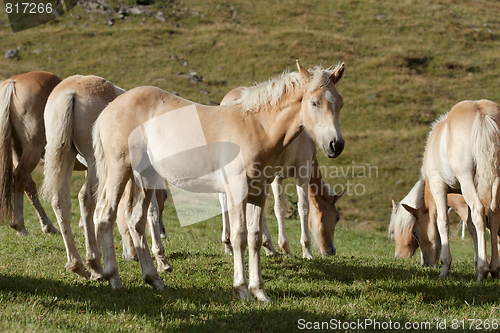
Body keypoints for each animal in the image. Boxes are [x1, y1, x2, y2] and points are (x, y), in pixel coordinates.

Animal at [0, 71, 61, 235]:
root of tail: (13, 82)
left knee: (27, 183)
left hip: (17, 148)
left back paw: (47, 225)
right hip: (33, 148)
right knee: (21, 176)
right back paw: (19, 224)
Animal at [40, 74, 172, 278]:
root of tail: (70, 92)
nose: (131, 256)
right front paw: (161, 260)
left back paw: (78, 265)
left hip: (68, 156)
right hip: (94, 163)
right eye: (165, 196)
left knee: (60, 201)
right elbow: (150, 210)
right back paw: (95, 265)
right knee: (85, 198)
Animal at [220, 85, 344, 256]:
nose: (331, 251)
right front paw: (297, 248)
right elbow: (294, 207)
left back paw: (233, 244)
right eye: (337, 217)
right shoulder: (299, 170)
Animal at [390, 100, 500, 282]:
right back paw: (494, 268)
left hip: (467, 179)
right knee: (492, 215)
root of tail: (482, 114)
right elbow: (471, 227)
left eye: (415, 233)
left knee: (479, 212)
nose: (425, 264)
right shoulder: (462, 197)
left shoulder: (438, 187)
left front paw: (446, 268)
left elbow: (443, 222)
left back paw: (483, 270)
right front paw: (477, 263)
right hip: (495, 180)